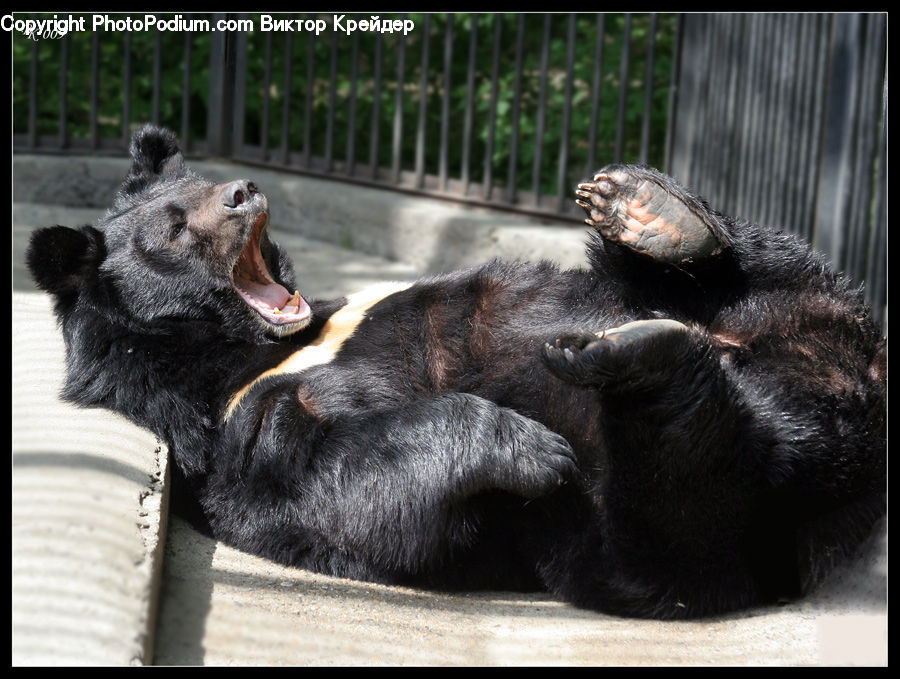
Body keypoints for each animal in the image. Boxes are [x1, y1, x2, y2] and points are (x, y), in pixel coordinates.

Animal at [26, 125, 886, 620]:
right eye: (177, 227)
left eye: (204, 182)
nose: (243, 190)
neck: (259, 347)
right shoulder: (230, 428)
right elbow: (338, 479)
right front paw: (531, 447)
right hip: (640, 538)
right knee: (681, 501)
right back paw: (633, 360)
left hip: (797, 305)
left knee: (750, 265)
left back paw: (650, 214)